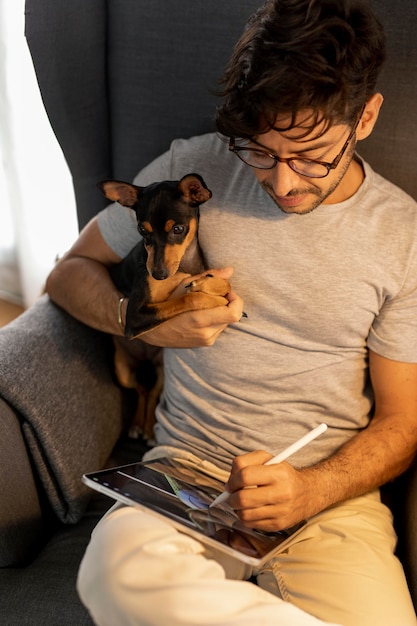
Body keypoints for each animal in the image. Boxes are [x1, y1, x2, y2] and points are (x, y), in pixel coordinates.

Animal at [100, 173, 231, 436]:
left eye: (178, 229)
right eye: (142, 230)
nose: (158, 274)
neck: (183, 267)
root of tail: (145, 361)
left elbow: (210, 282)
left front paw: (216, 286)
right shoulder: (135, 316)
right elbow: (189, 296)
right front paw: (210, 296)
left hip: (161, 367)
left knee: (152, 391)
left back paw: (149, 429)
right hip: (122, 370)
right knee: (141, 390)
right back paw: (137, 425)